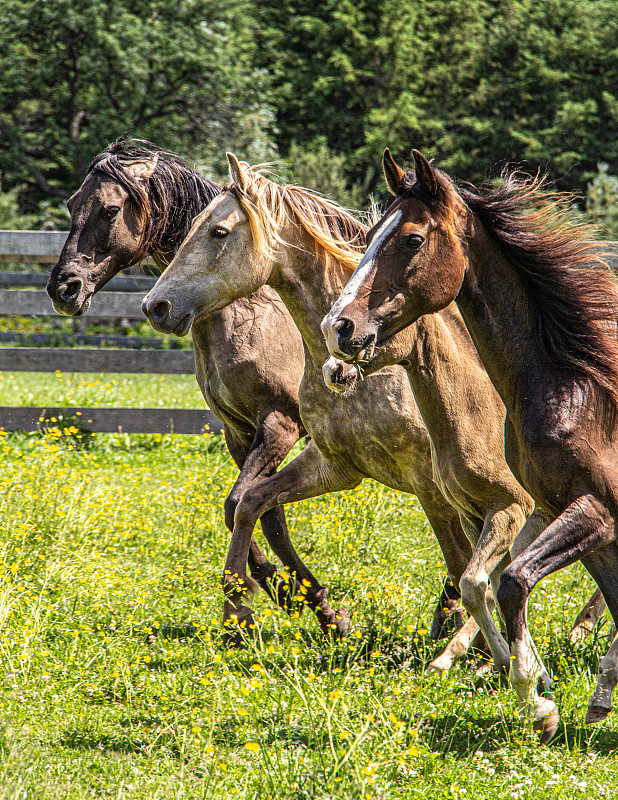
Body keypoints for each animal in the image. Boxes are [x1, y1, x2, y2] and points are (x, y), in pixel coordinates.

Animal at [320, 147, 616, 740]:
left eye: (412, 239)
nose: (337, 330)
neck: (571, 383)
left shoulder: (571, 509)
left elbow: (498, 582)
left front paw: (534, 694)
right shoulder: (560, 514)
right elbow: (493, 581)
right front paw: (547, 691)